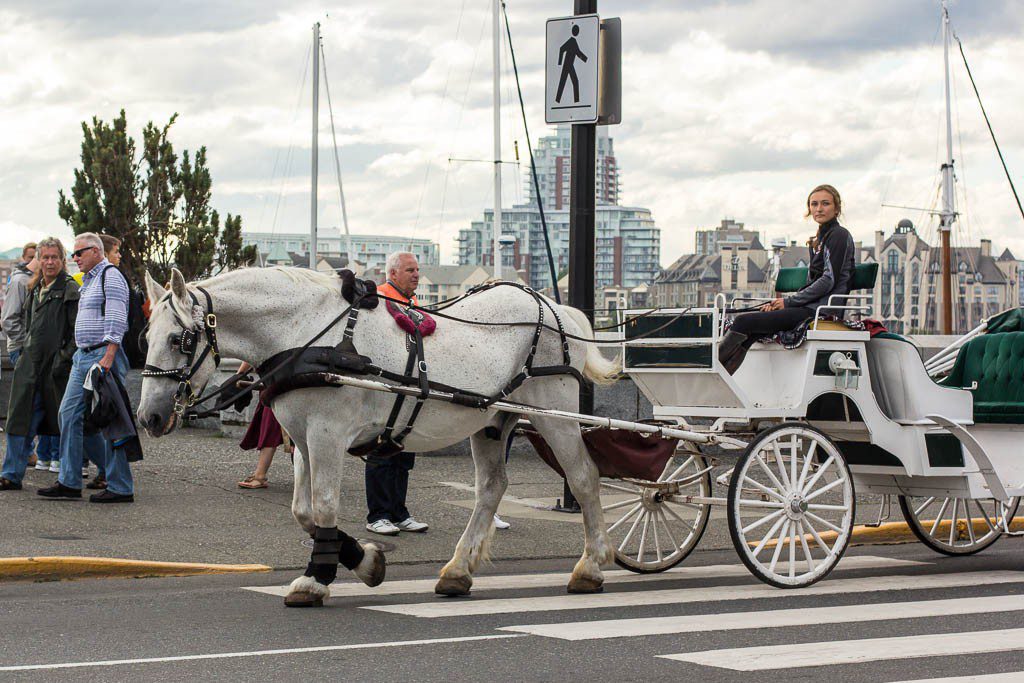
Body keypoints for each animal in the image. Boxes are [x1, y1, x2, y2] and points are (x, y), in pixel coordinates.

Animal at [140, 268, 618, 610]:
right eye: (144, 337)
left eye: (179, 338)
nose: (149, 417)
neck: (305, 333)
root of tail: (554, 307)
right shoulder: (304, 438)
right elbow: (303, 511)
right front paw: (364, 560)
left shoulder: (328, 434)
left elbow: (325, 506)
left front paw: (317, 580)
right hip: (491, 419)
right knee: (491, 487)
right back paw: (458, 570)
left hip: (555, 413)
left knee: (583, 478)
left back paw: (591, 566)